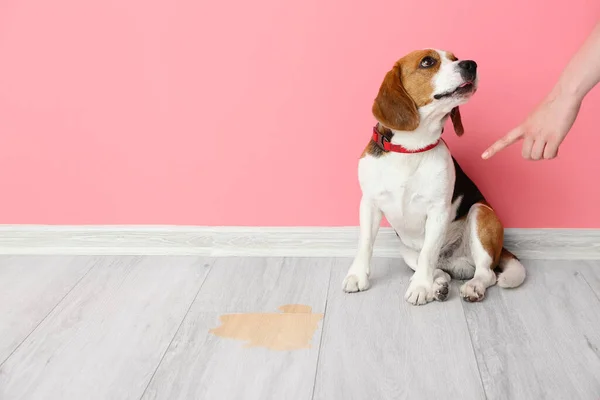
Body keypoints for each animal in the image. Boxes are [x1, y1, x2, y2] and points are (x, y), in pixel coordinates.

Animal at [342, 48, 524, 304]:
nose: (471, 64)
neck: (411, 148)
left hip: (481, 213)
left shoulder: (438, 210)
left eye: (455, 58)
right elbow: (365, 243)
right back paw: (438, 284)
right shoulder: (369, 204)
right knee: (439, 271)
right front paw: (357, 276)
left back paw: (470, 286)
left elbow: (428, 252)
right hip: (406, 251)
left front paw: (420, 287)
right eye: (427, 62)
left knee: (485, 273)